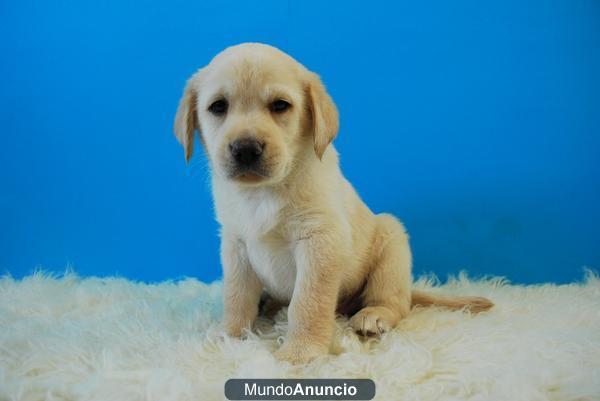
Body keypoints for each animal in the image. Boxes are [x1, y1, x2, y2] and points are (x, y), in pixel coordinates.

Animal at [173, 43, 492, 362]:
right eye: (218, 107)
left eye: (280, 105)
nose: (246, 149)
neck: (263, 192)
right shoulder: (235, 243)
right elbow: (236, 294)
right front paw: (230, 334)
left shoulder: (320, 240)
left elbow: (307, 302)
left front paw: (299, 353)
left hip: (392, 242)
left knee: (396, 303)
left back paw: (374, 315)